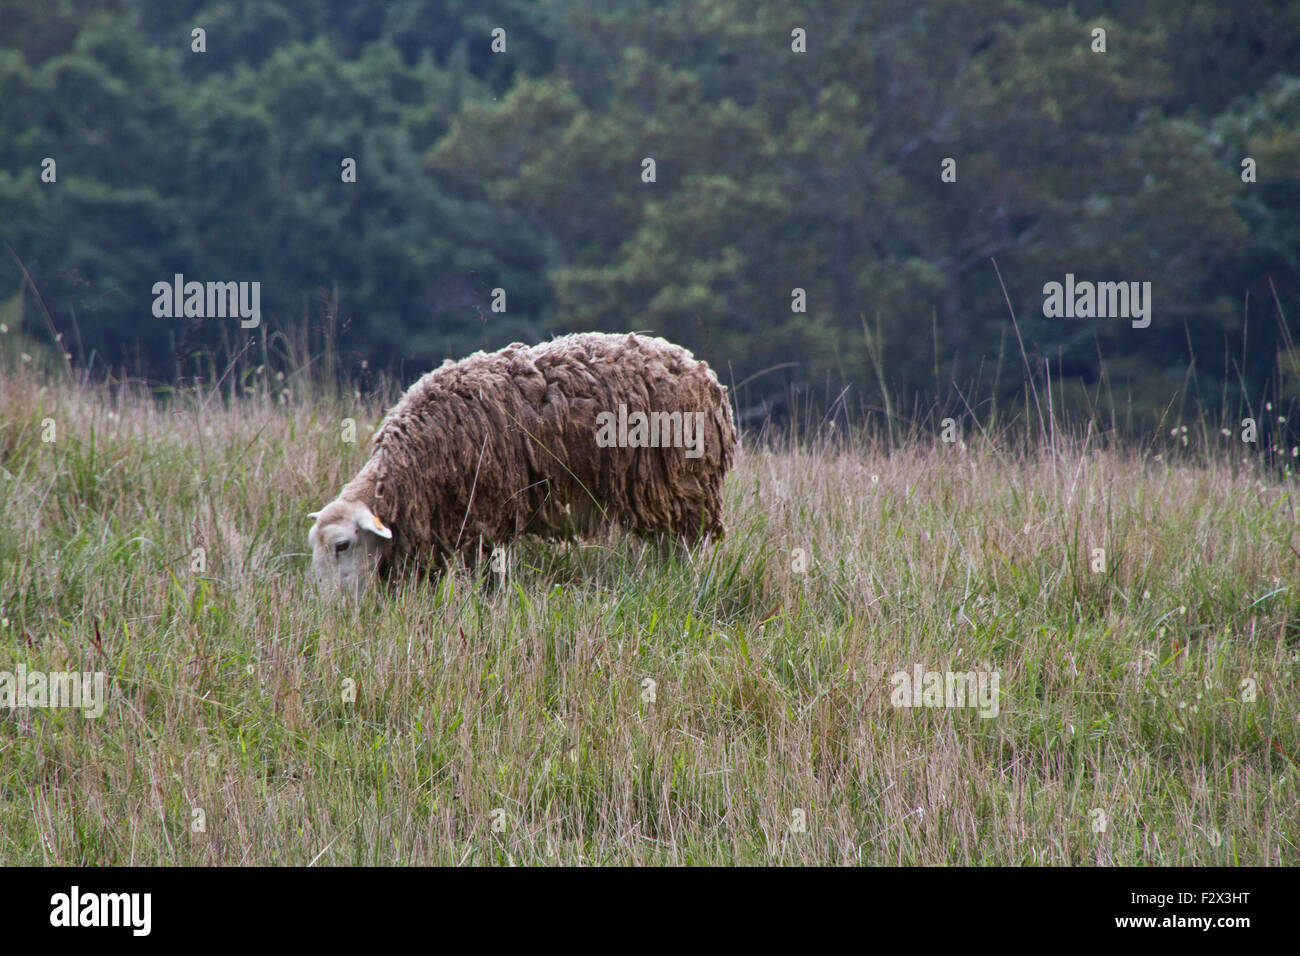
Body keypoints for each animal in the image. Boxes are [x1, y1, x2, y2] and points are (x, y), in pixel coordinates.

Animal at [302, 332, 733, 595]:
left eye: (342, 546)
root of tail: (701, 371)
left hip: (681, 488)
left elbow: (485, 574)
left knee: (683, 550)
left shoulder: (483, 515)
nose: (333, 614)